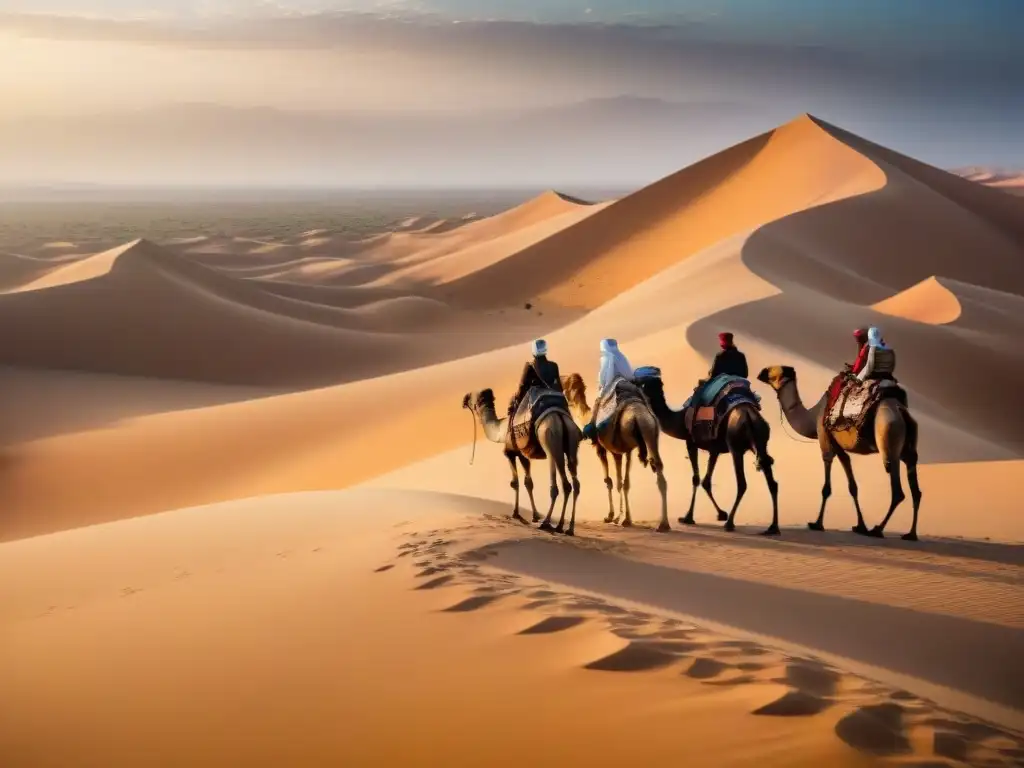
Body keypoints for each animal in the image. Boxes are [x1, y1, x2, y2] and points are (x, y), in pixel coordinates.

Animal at [460, 391, 581, 536]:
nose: (464, 399)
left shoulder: (511, 452)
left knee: (559, 485)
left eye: (473, 398)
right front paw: (535, 516)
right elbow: (529, 483)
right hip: (572, 444)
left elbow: (516, 483)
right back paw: (567, 527)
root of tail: (560, 418)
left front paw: (516, 514)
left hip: (550, 442)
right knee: (574, 484)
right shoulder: (524, 455)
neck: (501, 430)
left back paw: (547, 523)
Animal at [561, 374, 671, 532]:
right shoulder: (626, 451)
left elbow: (611, 481)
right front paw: (626, 518)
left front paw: (612, 516)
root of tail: (639, 416)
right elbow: (625, 483)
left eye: (567, 382)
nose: (560, 383)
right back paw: (664, 524)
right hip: (650, 431)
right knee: (658, 468)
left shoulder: (606, 450)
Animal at [634, 372, 778, 536]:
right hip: (761, 442)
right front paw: (721, 513)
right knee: (772, 482)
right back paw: (773, 527)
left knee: (742, 483)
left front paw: (688, 517)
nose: (633, 383)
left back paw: (730, 523)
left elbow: (696, 479)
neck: (679, 418)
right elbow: (706, 481)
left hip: (735, 447)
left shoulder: (691, 442)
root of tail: (749, 416)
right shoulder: (714, 449)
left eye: (643, 382)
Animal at [757, 366, 925, 540]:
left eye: (775, 372)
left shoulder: (825, 437)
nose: (760, 374)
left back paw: (878, 529)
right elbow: (852, 485)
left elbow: (826, 486)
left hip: (889, 436)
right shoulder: (838, 446)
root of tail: (901, 410)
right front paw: (860, 526)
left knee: (898, 490)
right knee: (916, 489)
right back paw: (911, 534)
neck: (813, 416)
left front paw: (817, 524)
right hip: (908, 450)